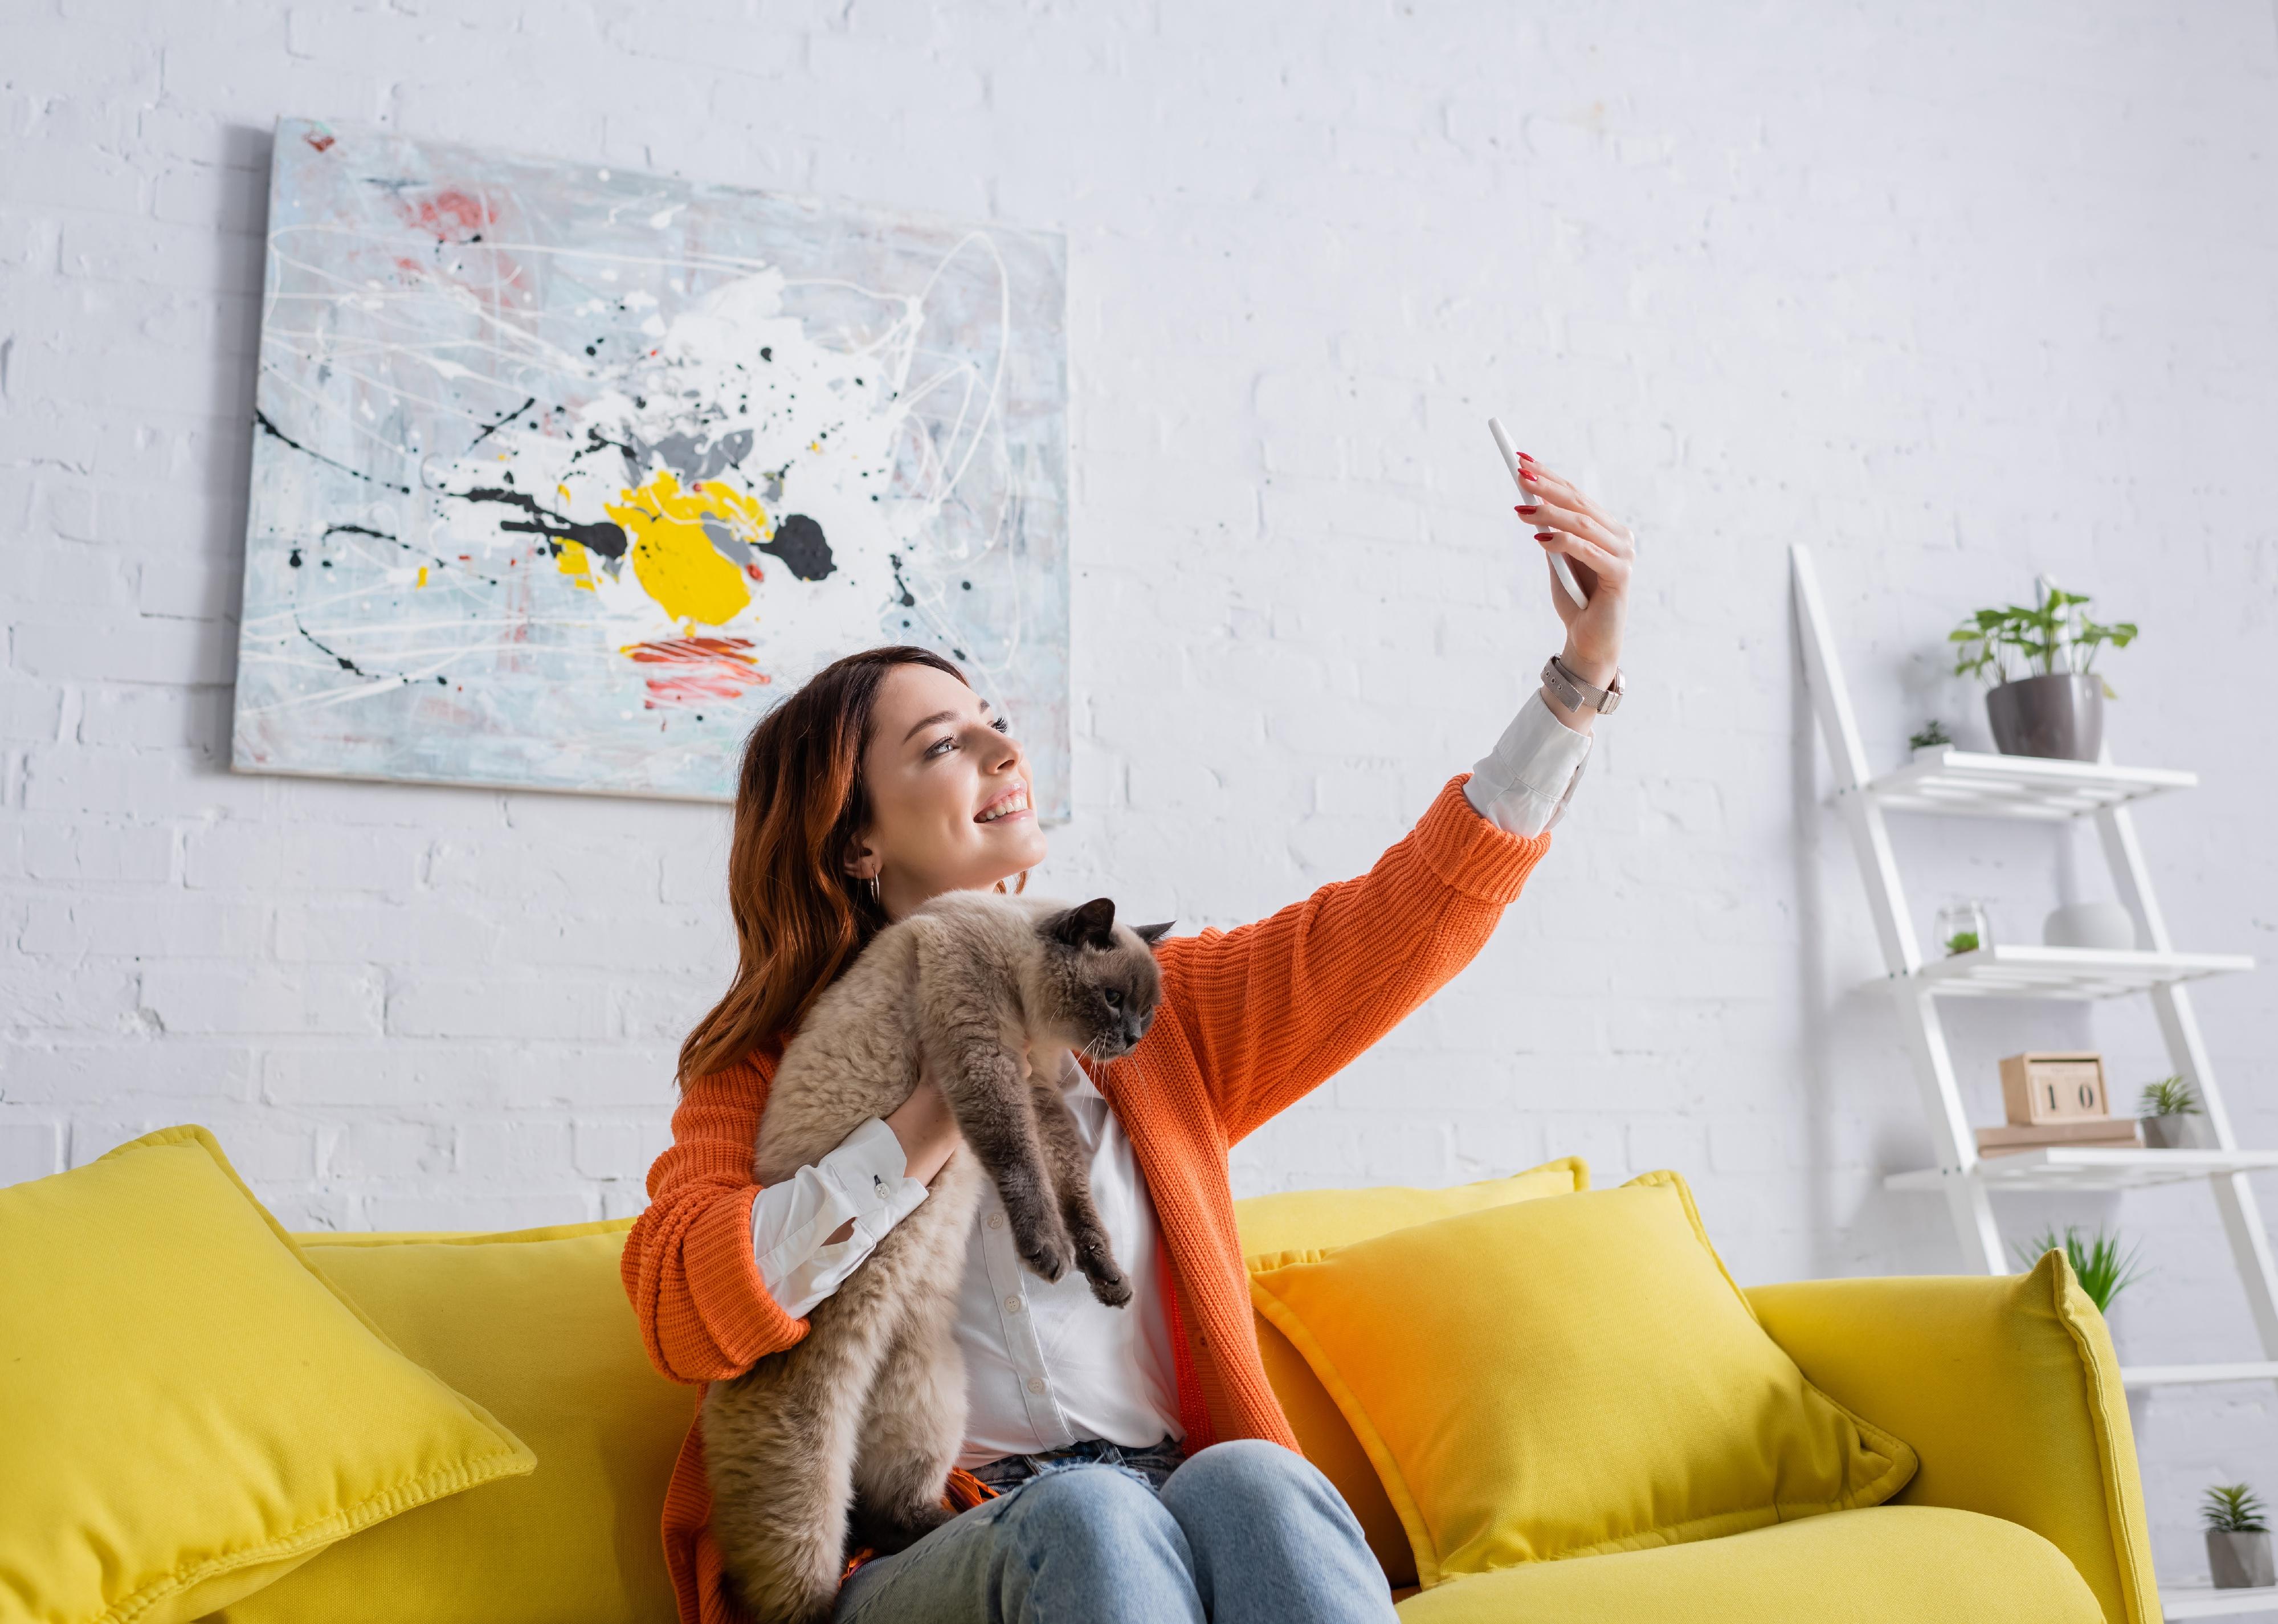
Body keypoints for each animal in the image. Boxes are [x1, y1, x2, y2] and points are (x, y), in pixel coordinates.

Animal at [701, 892, 1166, 1613]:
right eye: (1113, 999)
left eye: (1146, 1011)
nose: (1133, 1040)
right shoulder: (986, 1058)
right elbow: (1017, 1160)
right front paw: (1047, 1256)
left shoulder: (1038, 1091)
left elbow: (1072, 1192)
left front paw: (1106, 1280)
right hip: (807, 1446)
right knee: (800, 1572)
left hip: (928, 1392)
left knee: (887, 1510)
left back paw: (949, 1522)